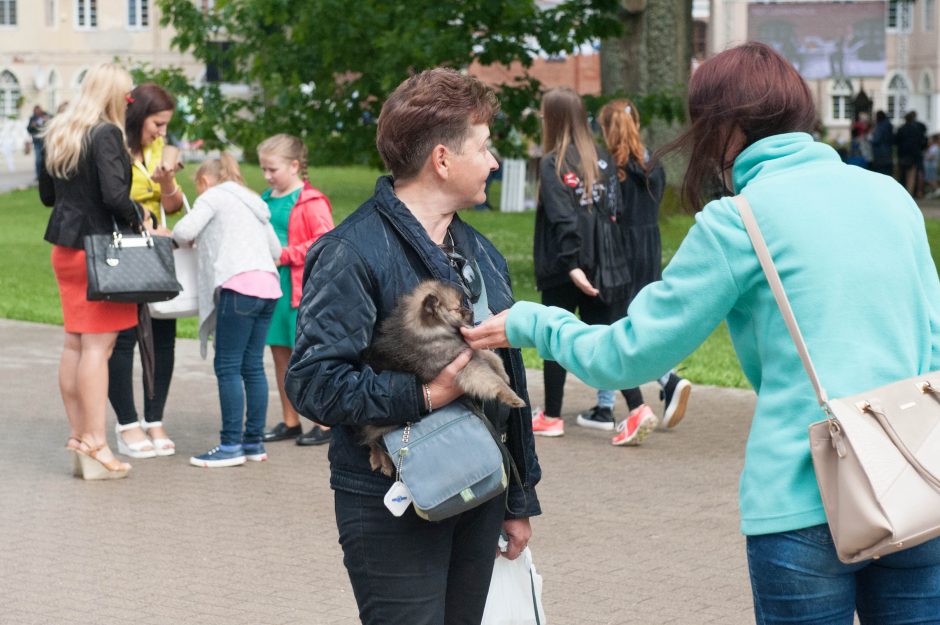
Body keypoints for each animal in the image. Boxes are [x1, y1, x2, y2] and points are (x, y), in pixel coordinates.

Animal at [360, 278, 524, 472]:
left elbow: (489, 355)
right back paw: (381, 460)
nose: (470, 311)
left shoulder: (465, 350)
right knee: (370, 439)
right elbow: (489, 379)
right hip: (381, 422)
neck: (433, 332)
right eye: (457, 309)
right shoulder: (464, 366)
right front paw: (512, 396)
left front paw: (503, 372)